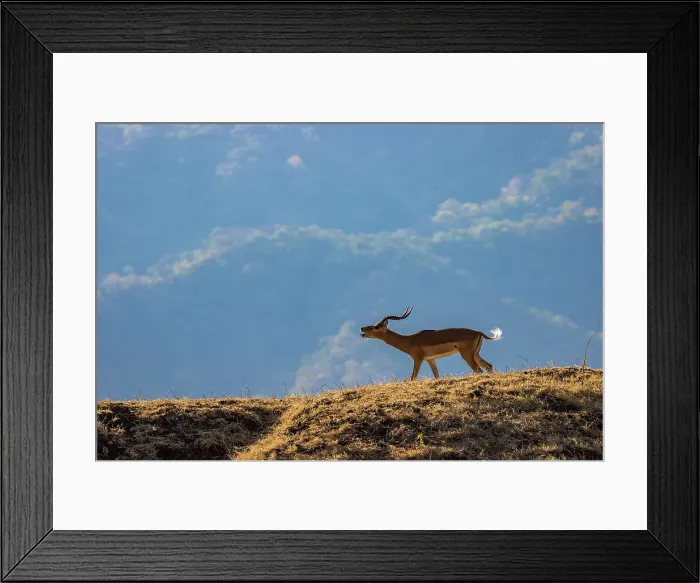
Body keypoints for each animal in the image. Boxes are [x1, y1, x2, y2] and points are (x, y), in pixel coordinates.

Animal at [360, 305, 502, 380]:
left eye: (377, 326)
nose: (362, 329)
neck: (410, 340)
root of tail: (478, 332)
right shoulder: (431, 360)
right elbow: (437, 376)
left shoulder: (418, 359)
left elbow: (412, 378)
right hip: (475, 355)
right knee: (488, 366)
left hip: (467, 356)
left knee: (479, 371)